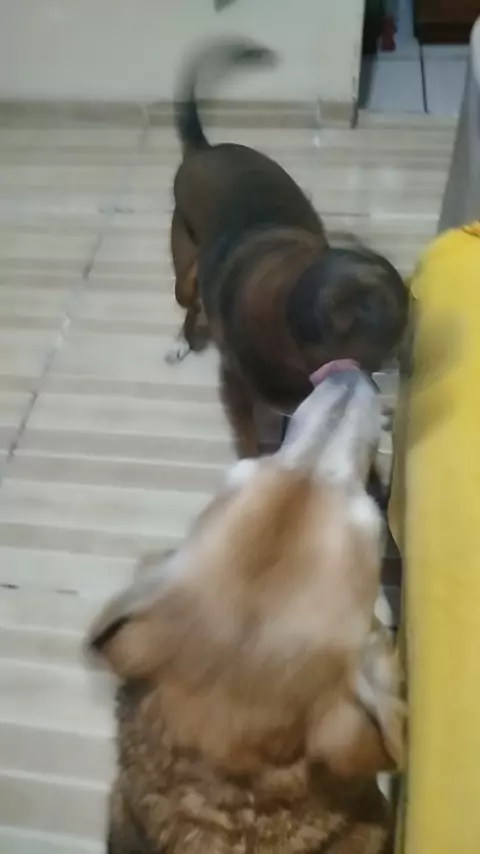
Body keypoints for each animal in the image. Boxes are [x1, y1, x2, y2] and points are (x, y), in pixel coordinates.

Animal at [167, 39, 409, 458]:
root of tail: (203, 150)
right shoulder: (238, 393)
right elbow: (249, 442)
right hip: (184, 275)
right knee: (189, 304)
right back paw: (183, 341)